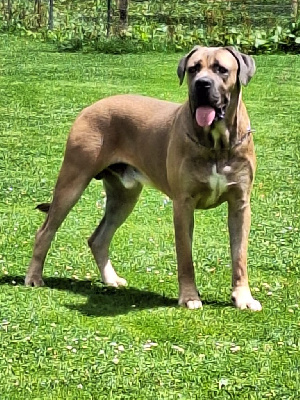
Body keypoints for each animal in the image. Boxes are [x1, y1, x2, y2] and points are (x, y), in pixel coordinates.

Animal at [24, 45, 262, 310]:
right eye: (193, 69)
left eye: (221, 69)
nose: (202, 84)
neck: (217, 144)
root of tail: (91, 106)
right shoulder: (183, 204)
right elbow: (185, 256)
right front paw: (190, 297)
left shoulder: (240, 204)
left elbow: (239, 256)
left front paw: (243, 297)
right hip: (72, 179)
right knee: (45, 230)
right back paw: (34, 277)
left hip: (123, 197)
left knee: (98, 238)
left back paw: (111, 279)